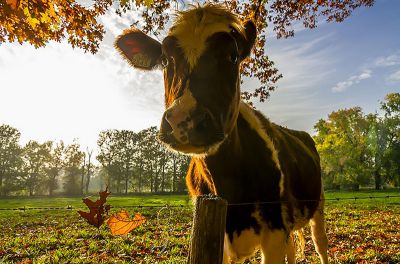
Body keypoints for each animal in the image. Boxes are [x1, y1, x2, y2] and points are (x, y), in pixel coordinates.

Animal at [115, 4, 328, 264]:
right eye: (165, 59)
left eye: (233, 56)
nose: (184, 121)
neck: (227, 184)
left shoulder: (275, 231)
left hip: (318, 205)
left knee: (321, 245)